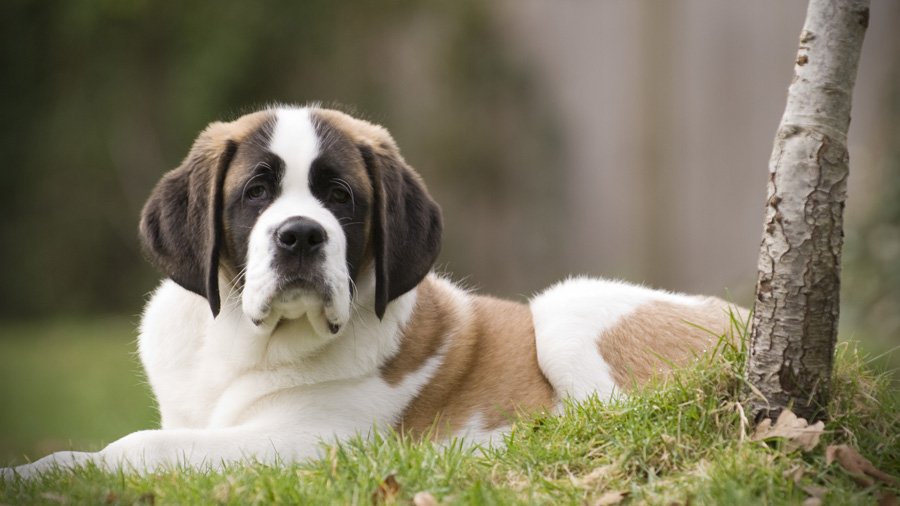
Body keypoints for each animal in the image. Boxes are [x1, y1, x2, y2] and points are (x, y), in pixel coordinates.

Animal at [3, 106, 742, 478]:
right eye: (255, 192)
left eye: (341, 196)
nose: (301, 236)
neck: (239, 343)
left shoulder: (313, 442)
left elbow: (136, 448)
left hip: (565, 308)